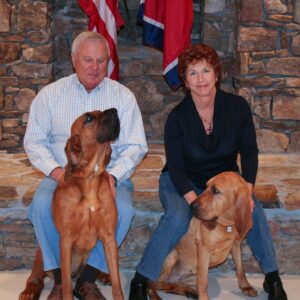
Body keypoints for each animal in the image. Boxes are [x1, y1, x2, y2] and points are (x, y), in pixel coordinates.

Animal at [19, 109, 123, 300]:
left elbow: (118, 285)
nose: (114, 110)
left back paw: (103, 275)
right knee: (37, 276)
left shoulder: (109, 237)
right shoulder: (66, 239)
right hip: (41, 254)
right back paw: (30, 291)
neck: (90, 178)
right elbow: (66, 285)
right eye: (89, 118)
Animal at [148, 171, 258, 300]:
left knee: (170, 286)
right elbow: (203, 280)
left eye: (216, 191)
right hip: (172, 256)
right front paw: (204, 297)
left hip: (190, 276)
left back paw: (190, 291)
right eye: (206, 187)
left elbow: (240, 268)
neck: (226, 225)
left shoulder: (236, 245)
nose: (191, 206)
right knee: (154, 283)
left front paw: (246, 286)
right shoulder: (203, 250)